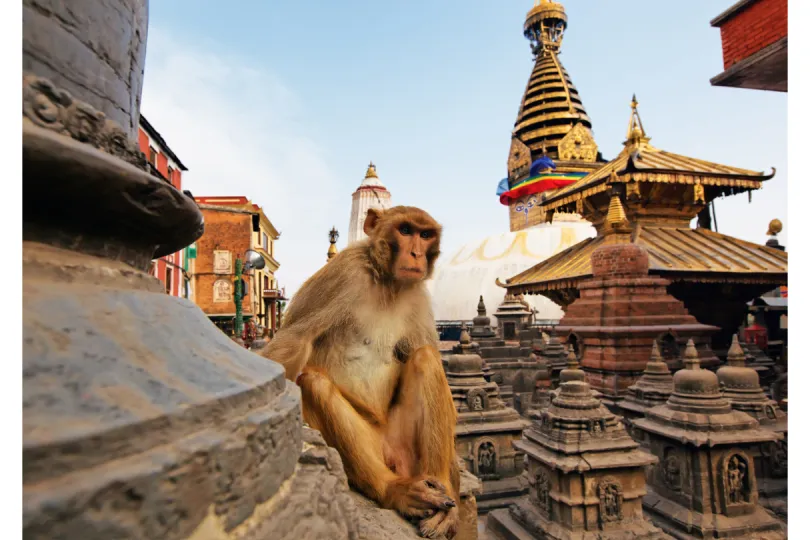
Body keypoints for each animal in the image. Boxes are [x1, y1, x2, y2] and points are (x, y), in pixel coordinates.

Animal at [262, 206, 458, 536]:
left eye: (425, 234)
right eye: (406, 230)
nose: (417, 253)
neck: (387, 283)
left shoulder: (418, 295)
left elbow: (423, 350)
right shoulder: (343, 273)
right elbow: (294, 341)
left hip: (406, 446)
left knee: (425, 357)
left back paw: (439, 486)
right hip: (371, 445)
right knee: (313, 383)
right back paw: (393, 489)